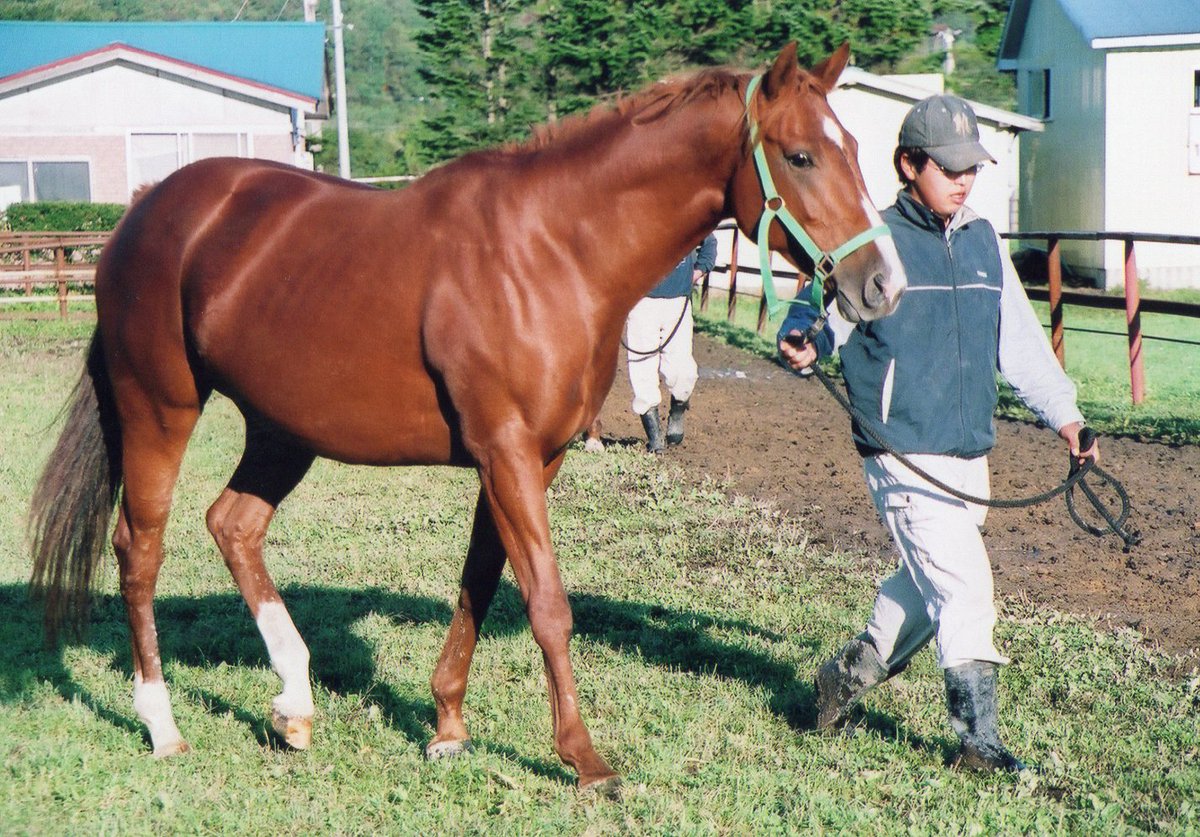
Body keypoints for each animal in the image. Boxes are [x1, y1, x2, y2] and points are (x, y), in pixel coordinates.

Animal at [28, 42, 905, 793]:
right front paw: (583, 757)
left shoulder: (529, 457)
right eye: (801, 156)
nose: (881, 285)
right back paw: (162, 723)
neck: (550, 250)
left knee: (233, 524)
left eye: (857, 151)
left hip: (283, 430)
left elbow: (480, 583)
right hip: (159, 408)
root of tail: (144, 214)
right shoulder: (507, 450)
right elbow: (547, 602)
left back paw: (294, 701)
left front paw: (447, 723)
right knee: (140, 550)